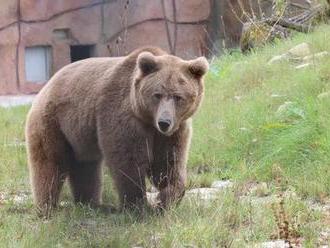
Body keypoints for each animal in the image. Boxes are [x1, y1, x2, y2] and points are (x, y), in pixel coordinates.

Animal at [25, 46, 208, 213]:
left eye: (178, 97)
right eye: (157, 94)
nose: (164, 122)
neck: (147, 119)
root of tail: (46, 86)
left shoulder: (173, 131)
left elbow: (168, 163)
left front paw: (164, 200)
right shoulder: (122, 116)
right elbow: (128, 161)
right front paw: (138, 205)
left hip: (80, 135)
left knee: (85, 166)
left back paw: (90, 203)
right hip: (53, 123)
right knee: (50, 163)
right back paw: (47, 207)